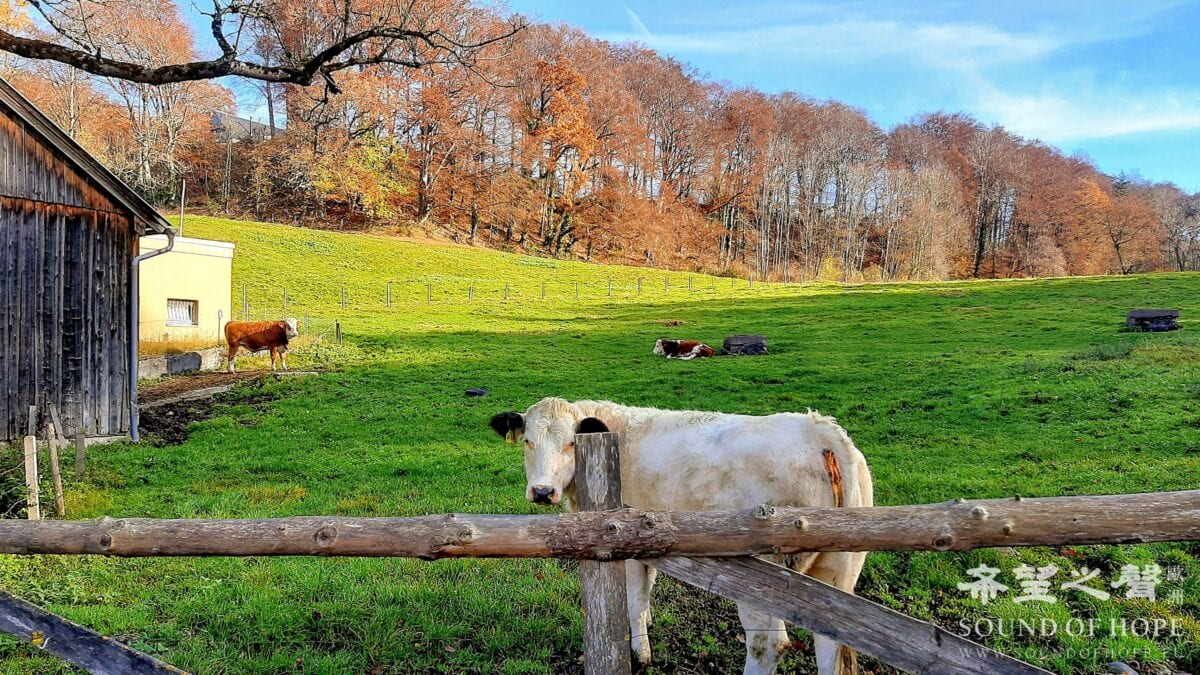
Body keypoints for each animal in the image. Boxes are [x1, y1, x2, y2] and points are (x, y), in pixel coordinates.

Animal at [490, 397, 872, 675]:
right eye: (528, 442)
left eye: (571, 443)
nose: (542, 491)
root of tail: (820, 429)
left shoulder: (626, 539)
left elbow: (635, 597)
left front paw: (640, 652)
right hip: (837, 574)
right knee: (830, 644)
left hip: (764, 584)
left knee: (768, 645)